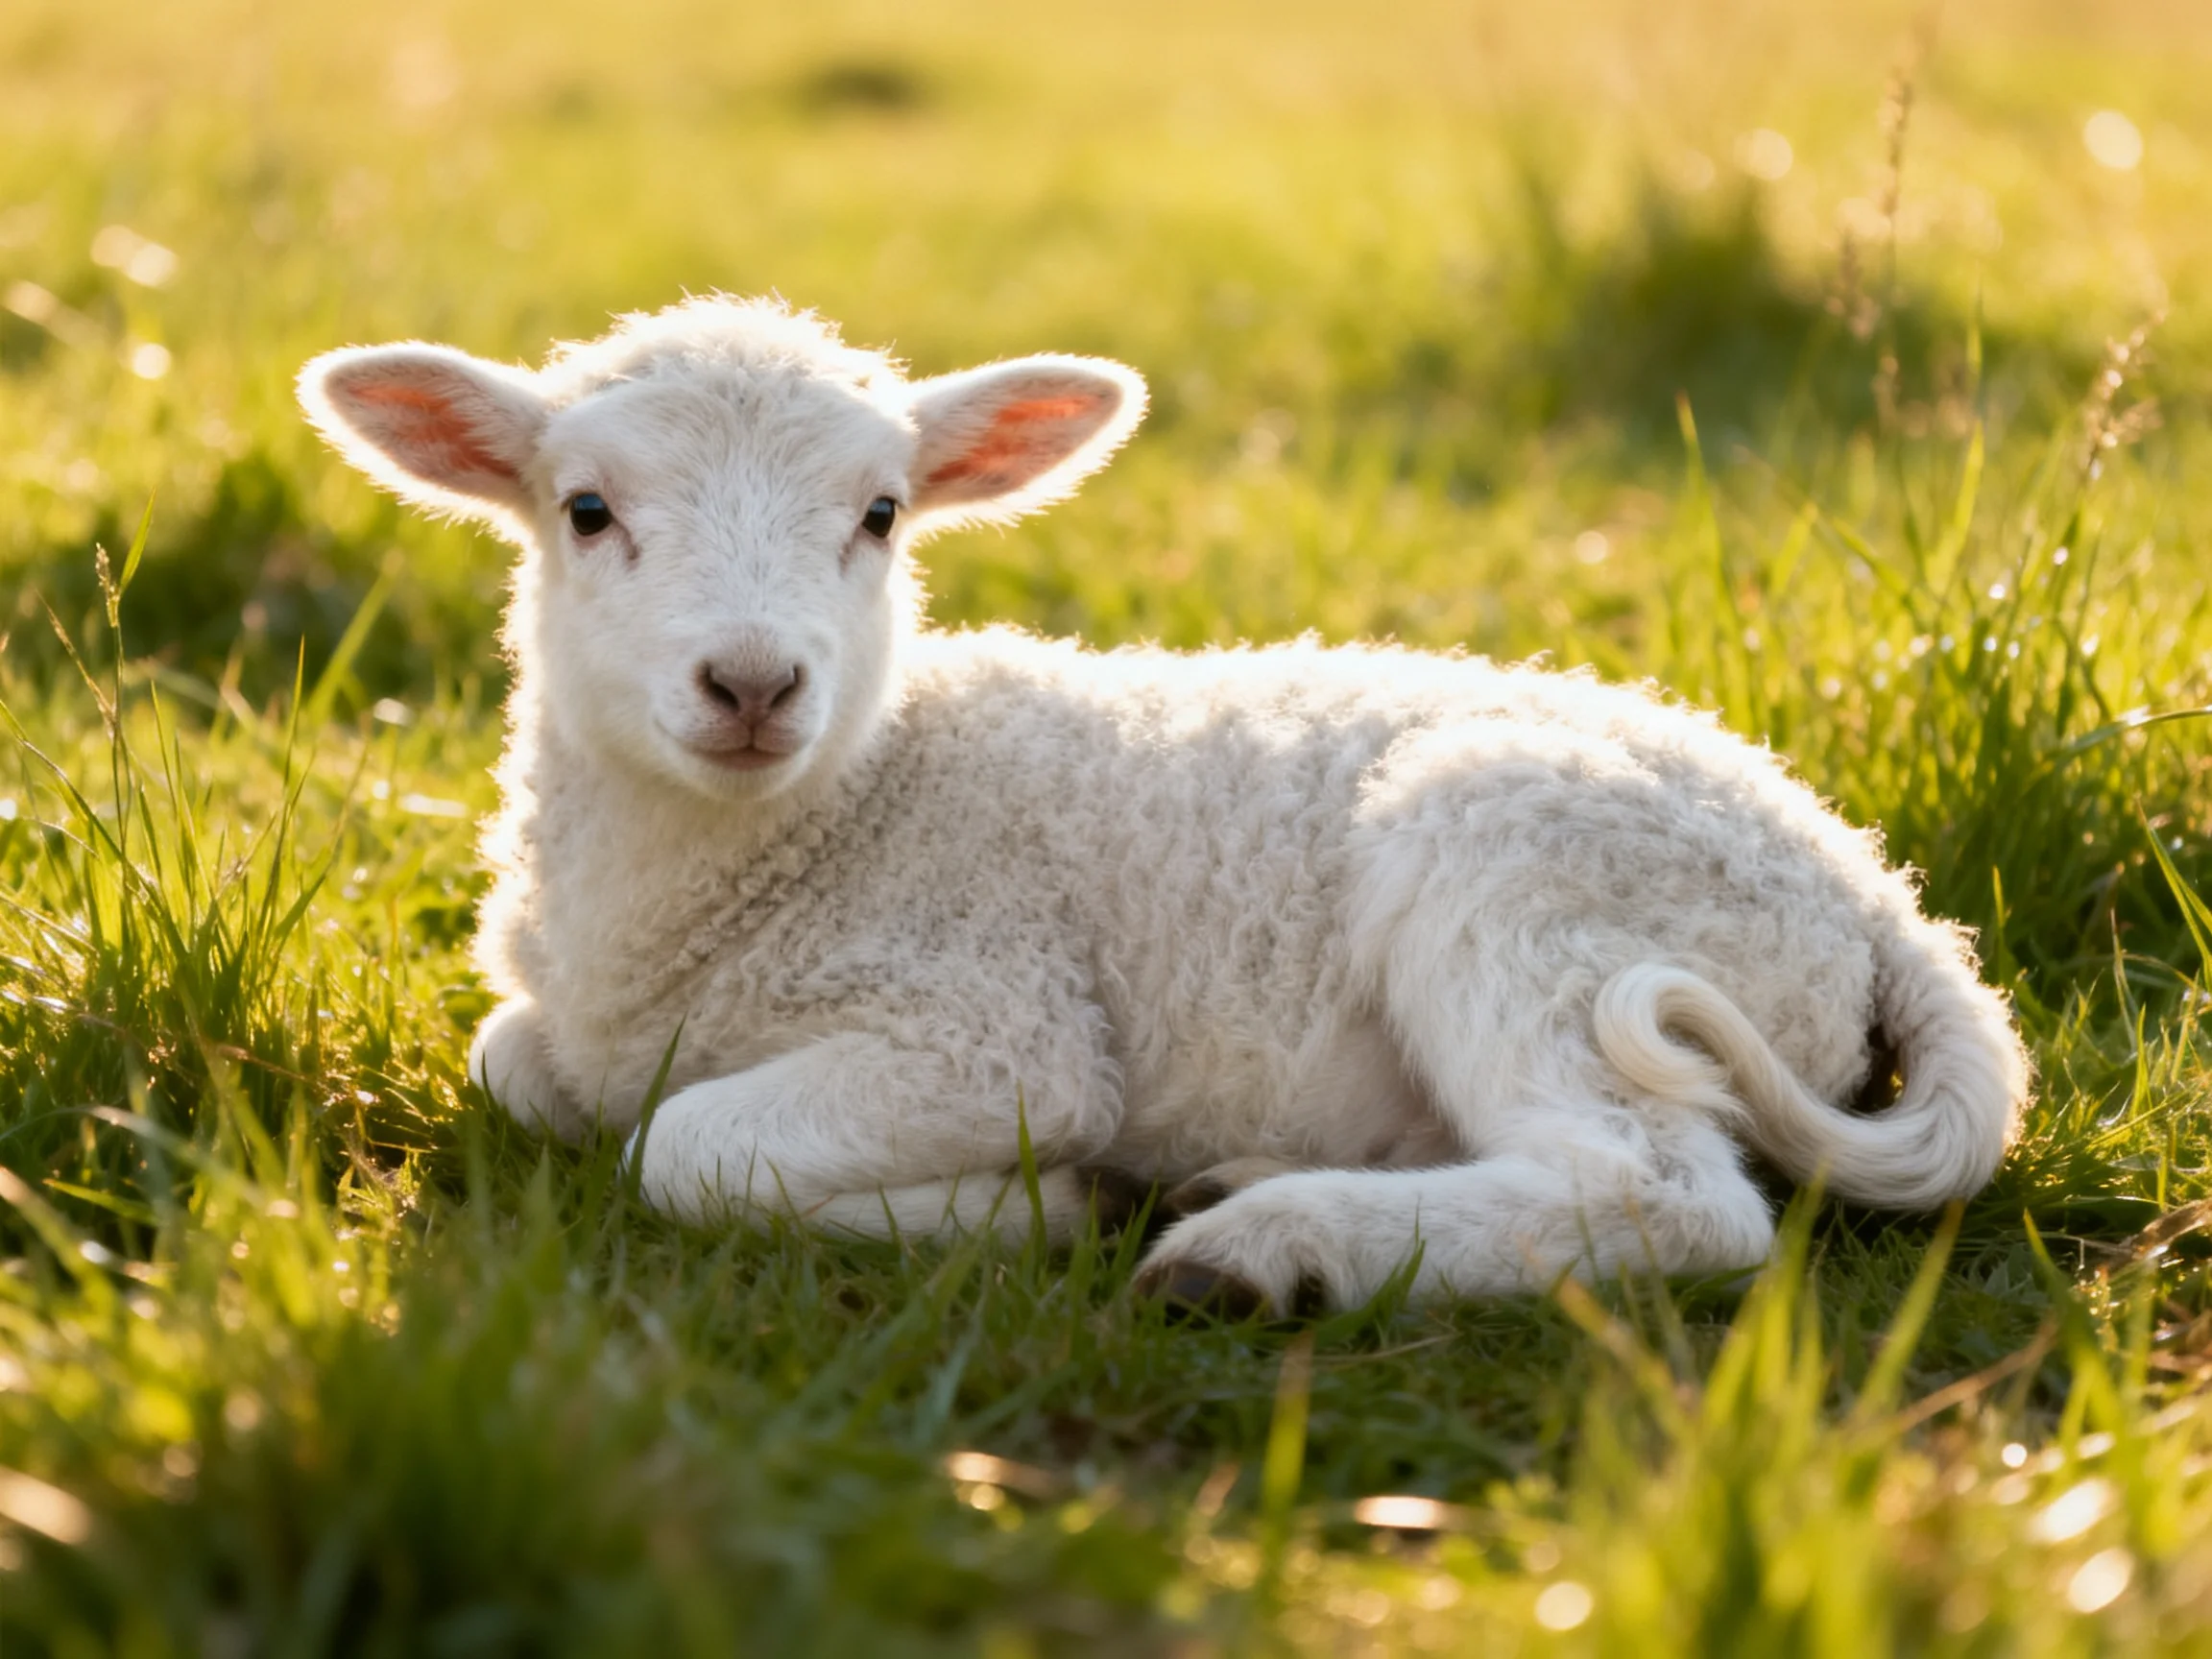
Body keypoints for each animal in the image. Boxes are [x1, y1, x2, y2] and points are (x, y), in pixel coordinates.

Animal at [297, 296, 2031, 1314]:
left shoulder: (988, 1025)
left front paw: (1037, 1204)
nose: (751, 683)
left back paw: (1265, 1250)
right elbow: (517, 1066)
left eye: (881, 514)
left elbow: (685, 1150)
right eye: (585, 510)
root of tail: (1875, 890)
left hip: (1535, 885)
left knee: (1667, 1195)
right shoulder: (561, 1031)